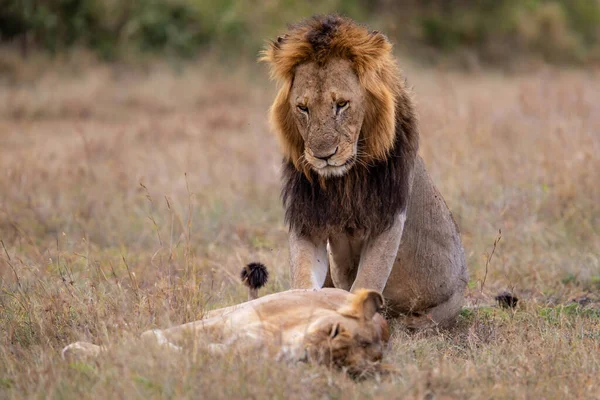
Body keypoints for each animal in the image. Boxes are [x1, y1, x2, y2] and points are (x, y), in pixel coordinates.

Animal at [262, 14, 468, 328]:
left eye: (341, 104)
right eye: (303, 108)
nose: (323, 156)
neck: (343, 181)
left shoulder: (389, 218)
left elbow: (366, 280)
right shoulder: (309, 220)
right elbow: (303, 279)